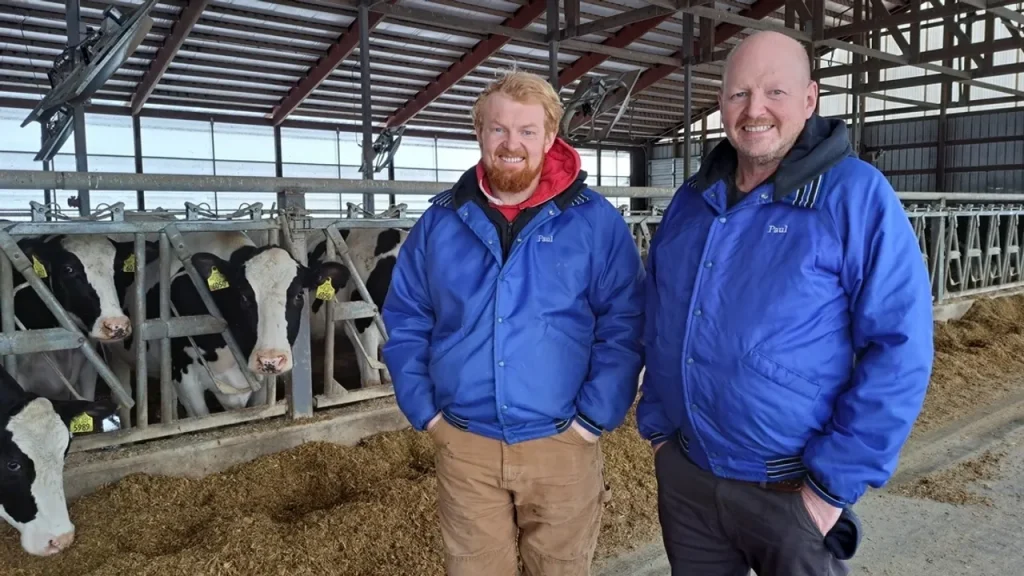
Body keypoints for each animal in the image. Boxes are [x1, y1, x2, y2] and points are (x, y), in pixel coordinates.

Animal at [107, 226, 348, 414]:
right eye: (244, 296)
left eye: (299, 295)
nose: (270, 360)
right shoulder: (185, 381)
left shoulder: (261, 386)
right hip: (116, 357)